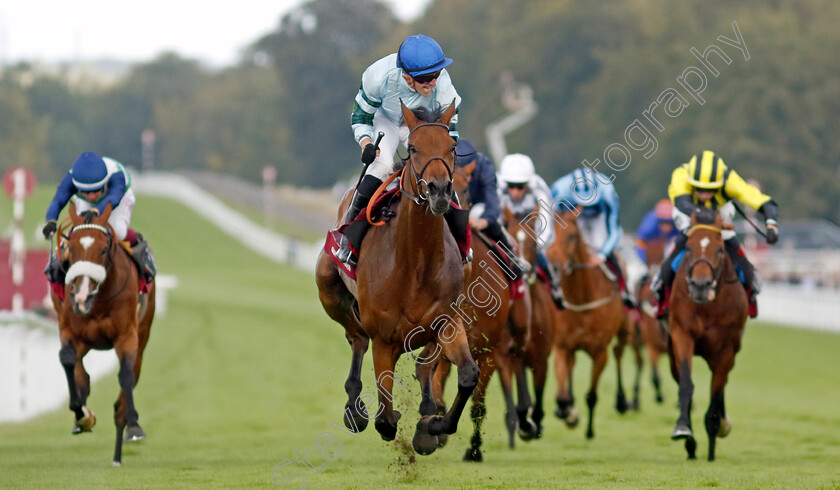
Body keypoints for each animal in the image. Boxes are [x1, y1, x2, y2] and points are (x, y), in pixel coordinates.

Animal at [51, 204, 157, 468]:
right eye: (72, 248)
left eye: (103, 249)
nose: (81, 296)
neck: (98, 301)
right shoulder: (70, 330)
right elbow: (69, 362)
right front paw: (81, 415)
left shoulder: (127, 335)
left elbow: (126, 377)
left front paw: (132, 422)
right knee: (82, 375)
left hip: (143, 331)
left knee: (131, 375)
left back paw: (120, 450)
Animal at [314, 102, 476, 456]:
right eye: (413, 148)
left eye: (452, 146)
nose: (439, 190)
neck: (416, 263)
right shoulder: (383, 337)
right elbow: (386, 417)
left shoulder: (447, 321)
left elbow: (467, 374)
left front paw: (433, 425)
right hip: (329, 292)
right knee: (356, 337)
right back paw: (354, 409)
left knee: (423, 365)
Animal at [424, 163, 536, 462]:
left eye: (464, 190)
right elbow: (437, 390)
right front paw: (436, 428)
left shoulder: (488, 353)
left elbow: (477, 407)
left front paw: (474, 450)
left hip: (518, 329)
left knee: (519, 357)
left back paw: (525, 418)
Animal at [544, 207, 632, 440]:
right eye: (550, 232)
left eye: (572, 235)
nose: (553, 261)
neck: (582, 298)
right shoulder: (562, 347)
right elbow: (562, 395)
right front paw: (567, 411)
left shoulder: (600, 352)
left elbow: (592, 396)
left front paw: (590, 430)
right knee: (573, 365)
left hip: (625, 330)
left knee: (619, 352)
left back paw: (622, 401)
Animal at [668, 210, 748, 460]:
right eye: (689, 248)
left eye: (720, 249)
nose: (701, 286)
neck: (707, 307)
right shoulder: (682, 334)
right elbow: (686, 385)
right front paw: (683, 429)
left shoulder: (726, 350)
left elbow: (715, 393)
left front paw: (714, 436)